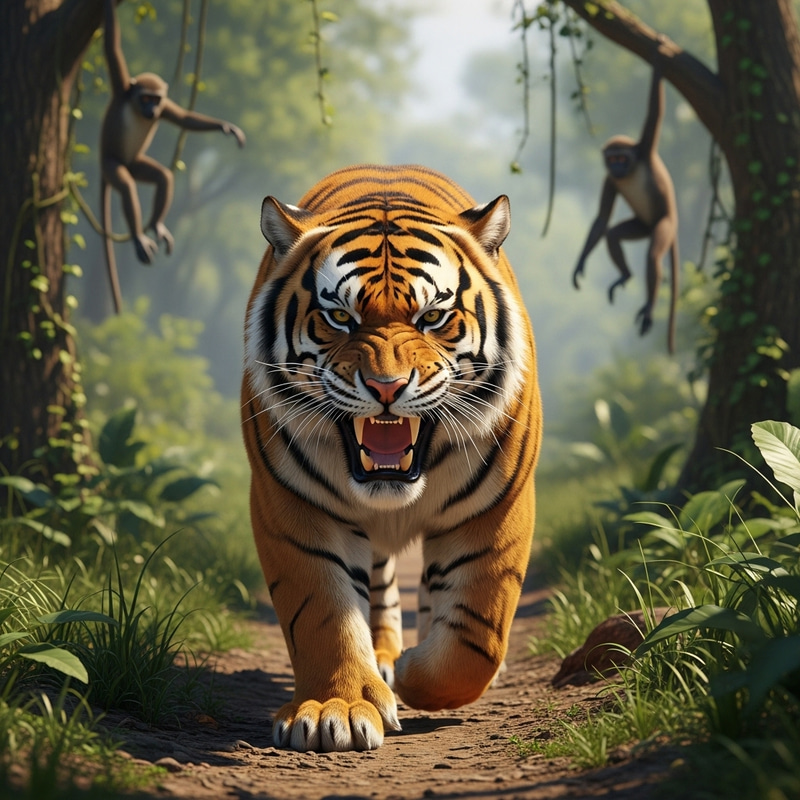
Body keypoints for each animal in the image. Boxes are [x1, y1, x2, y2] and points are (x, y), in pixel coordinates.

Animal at [100, 0, 245, 313]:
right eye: (145, 98)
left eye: (155, 100)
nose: (152, 110)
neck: (135, 106)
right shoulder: (122, 88)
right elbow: (112, 47)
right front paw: (105, 9)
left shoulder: (165, 107)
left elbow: (184, 118)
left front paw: (225, 128)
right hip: (111, 164)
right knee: (126, 184)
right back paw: (139, 237)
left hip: (136, 163)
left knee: (162, 176)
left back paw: (155, 224)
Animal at [241, 164, 542, 753]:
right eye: (339, 317)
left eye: (434, 317)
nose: (385, 387)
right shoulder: (292, 506)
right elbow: (325, 617)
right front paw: (334, 709)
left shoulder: (498, 510)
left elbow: (474, 637)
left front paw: (413, 674)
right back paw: (379, 660)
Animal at [572, 62, 679, 354]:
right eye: (612, 159)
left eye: (622, 157)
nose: (617, 167)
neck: (629, 170)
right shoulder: (609, 180)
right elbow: (601, 219)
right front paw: (580, 263)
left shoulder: (644, 147)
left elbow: (655, 111)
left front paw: (659, 63)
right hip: (642, 225)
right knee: (613, 234)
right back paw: (626, 275)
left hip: (665, 224)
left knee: (653, 255)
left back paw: (649, 306)